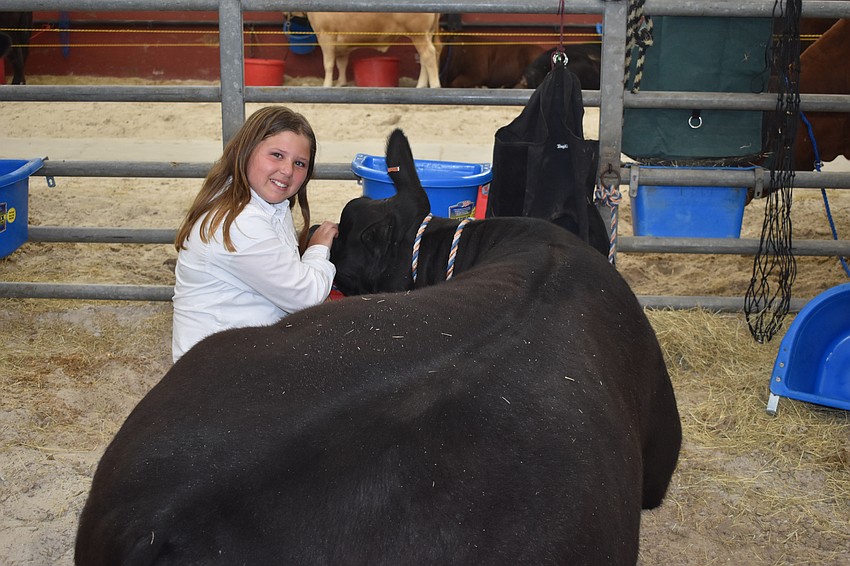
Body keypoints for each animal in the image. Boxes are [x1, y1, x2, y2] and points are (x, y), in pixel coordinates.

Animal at [299, 12, 441, 88]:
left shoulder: (326, 35)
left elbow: (328, 64)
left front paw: (327, 85)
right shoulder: (342, 44)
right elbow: (342, 64)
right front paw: (341, 83)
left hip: (418, 34)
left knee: (429, 54)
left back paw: (435, 85)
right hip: (428, 33)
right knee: (424, 58)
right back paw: (421, 85)